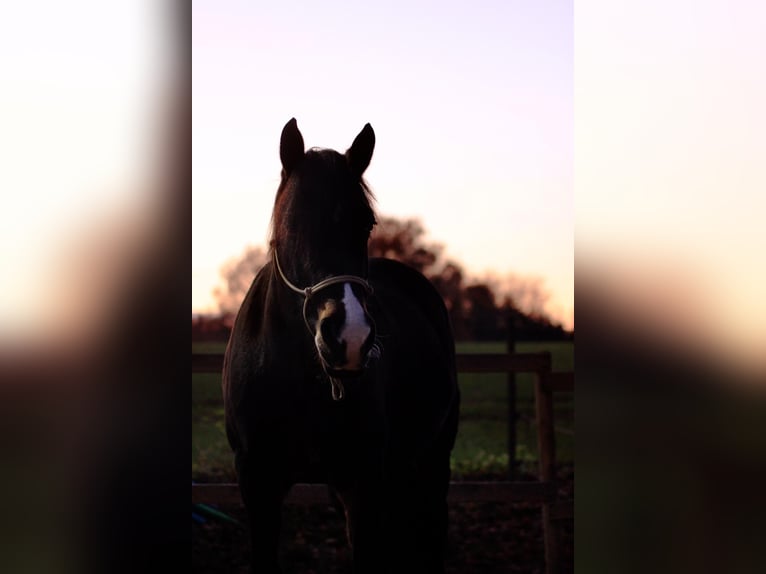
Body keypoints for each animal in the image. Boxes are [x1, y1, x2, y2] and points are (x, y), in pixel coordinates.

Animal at [222, 119, 462, 572]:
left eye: (366, 224)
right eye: (292, 223)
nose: (349, 337)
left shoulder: (362, 483)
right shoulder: (258, 483)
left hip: (433, 462)